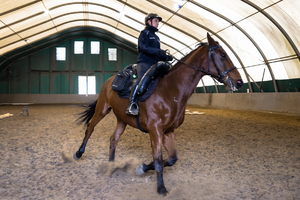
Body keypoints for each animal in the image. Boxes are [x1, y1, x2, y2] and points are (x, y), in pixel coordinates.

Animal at [74, 33, 244, 195]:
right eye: (223, 55)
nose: (239, 82)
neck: (170, 90)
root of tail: (109, 81)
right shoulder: (155, 131)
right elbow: (159, 161)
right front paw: (161, 188)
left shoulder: (168, 131)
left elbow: (172, 159)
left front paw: (142, 168)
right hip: (102, 109)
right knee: (90, 129)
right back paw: (78, 153)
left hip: (122, 119)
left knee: (113, 139)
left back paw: (111, 165)